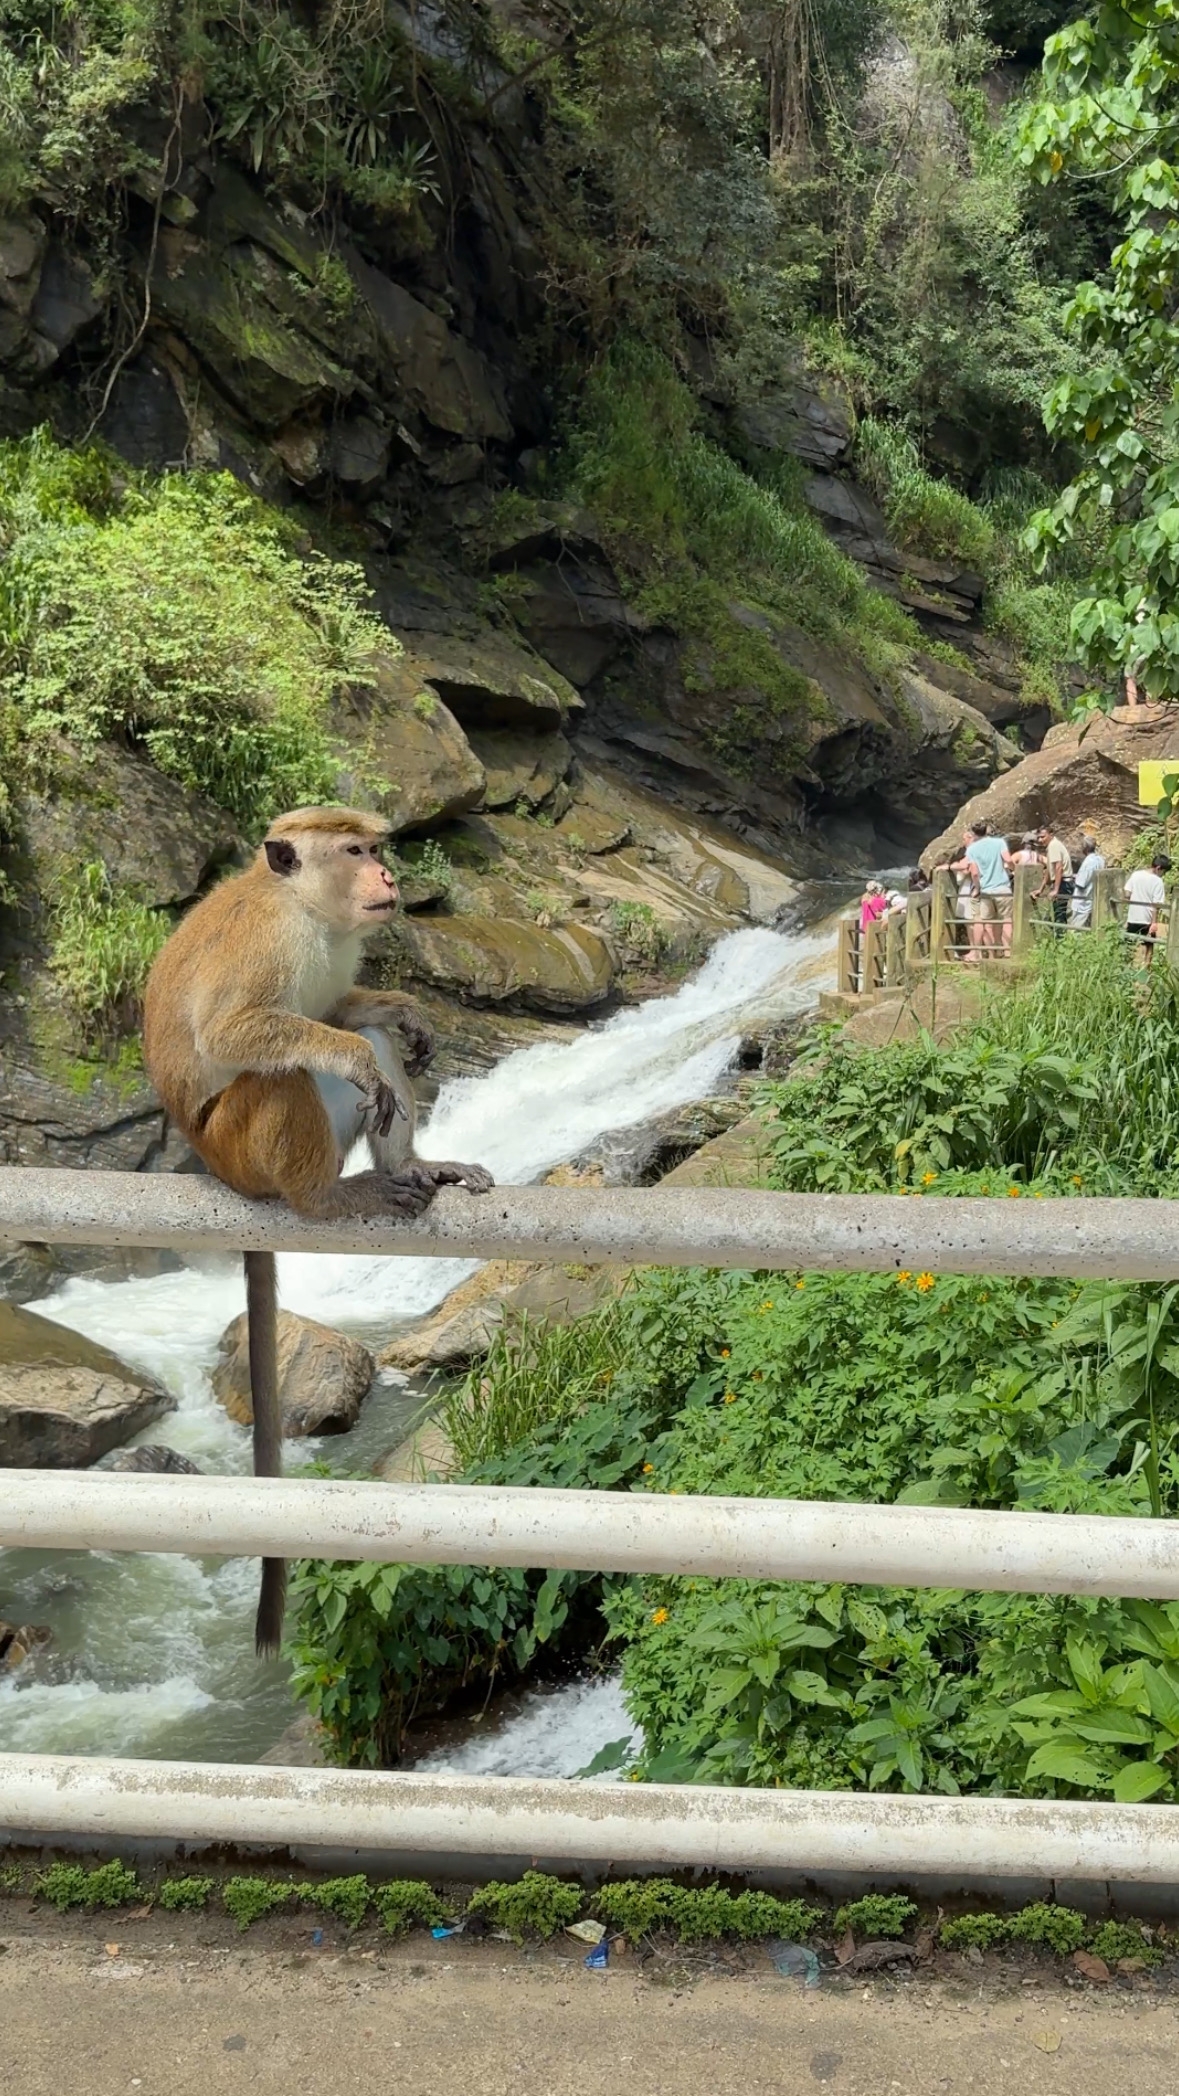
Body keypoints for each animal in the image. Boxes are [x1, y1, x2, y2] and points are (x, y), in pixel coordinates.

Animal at [143, 804, 494, 1657]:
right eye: (356, 851)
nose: (389, 876)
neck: (304, 908)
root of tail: (212, 1168)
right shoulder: (270, 941)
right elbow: (236, 1032)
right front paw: (357, 1043)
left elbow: (341, 1018)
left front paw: (398, 1009)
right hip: (240, 1148)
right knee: (286, 1071)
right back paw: (324, 1196)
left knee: (350, 1060)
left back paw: (415, 1163)